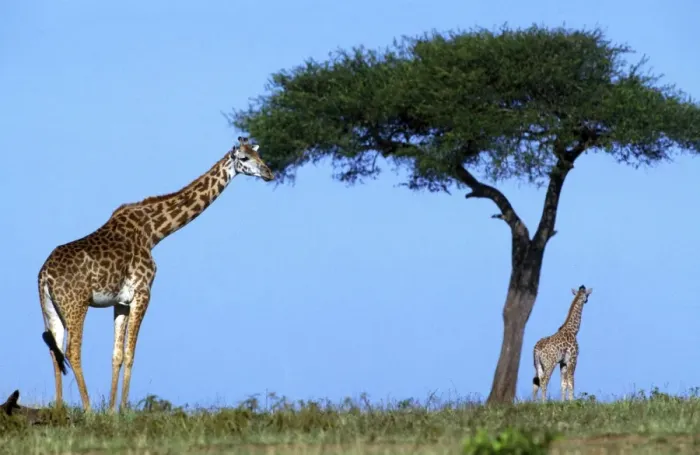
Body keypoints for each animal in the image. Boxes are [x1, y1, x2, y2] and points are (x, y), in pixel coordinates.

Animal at [38, 136, 274, 413]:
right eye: (244, 159)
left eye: (259, 155)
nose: (269, 173)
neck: (153, 233)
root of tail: (44, 275)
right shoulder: (143, 293)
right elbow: (131, 353)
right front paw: (123, 410)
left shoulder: (121, 302)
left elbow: (117, 355)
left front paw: (111, 411)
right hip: (76, 304)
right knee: (72, 351)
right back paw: (87, 410)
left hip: (50, 308)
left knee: (55, 351)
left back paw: (59, 409)